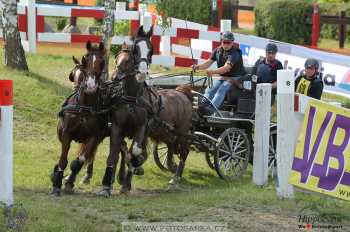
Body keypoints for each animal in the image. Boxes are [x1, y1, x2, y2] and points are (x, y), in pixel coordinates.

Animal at [50, 41, 108, 196]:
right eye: (85, 59)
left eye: (102, 62)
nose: (91, 85)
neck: (83, 107)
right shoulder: (66, 135)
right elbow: (63, 160)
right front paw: (56, 183)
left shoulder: (94, 137)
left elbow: (79, 161)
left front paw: (69, 182)